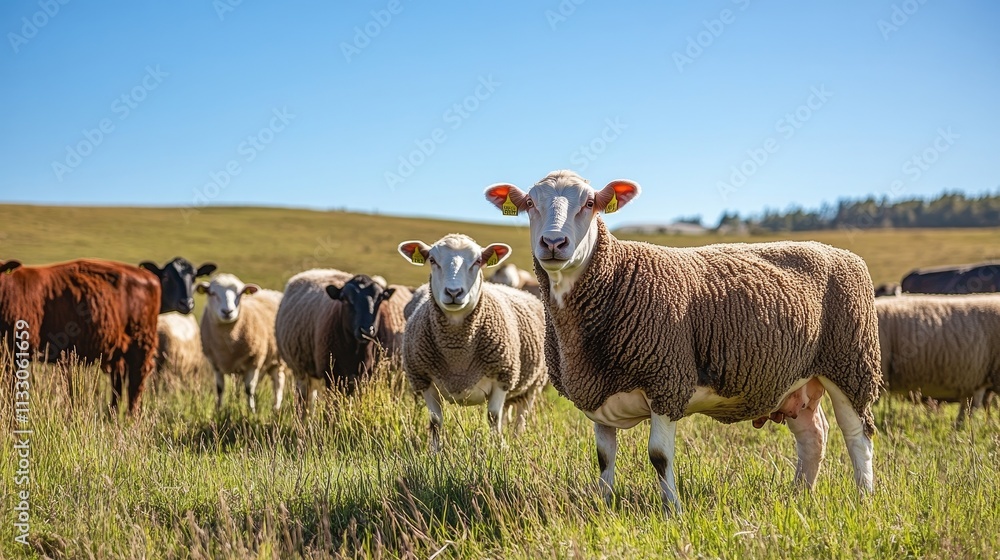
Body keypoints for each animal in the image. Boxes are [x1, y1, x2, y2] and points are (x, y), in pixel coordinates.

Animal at [197, 273, 286, 413]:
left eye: (240, 293)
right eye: (212, 293)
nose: (227, 311)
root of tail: (271, 292)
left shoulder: (254, 362)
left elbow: (249, 390)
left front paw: (252, 412)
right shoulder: (215, 364)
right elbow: (220, 389)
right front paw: (218, 411)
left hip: (278, 360)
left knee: (278, 383)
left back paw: (276, 408)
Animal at [275, 269, 411, 413]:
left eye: (380, 299)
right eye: (345, 299)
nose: (366, 330)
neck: (356, 351)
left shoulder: (366, 377)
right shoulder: (332, 376)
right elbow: (332, 408)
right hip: (302, 371)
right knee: (303, 400)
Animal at [397, 234, 548, 451]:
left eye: (478, 261)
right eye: (432, 260)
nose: (453, 292)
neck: (457, 352)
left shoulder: (503, 376)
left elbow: (493, 416)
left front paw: (497, 449)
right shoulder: (423, 379)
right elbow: (435, 420)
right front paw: (434, 452)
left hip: (533, 384)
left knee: (521, 415)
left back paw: (516, 439)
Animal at [485, 170, 881, 513]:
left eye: (590, 203)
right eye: (530, 203)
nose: (553, 243)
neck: (616, 279)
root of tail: (840, 252)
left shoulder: (666, 380)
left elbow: (659, 456)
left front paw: (672, 510)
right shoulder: (599, 390)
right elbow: (604, 457)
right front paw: (605, 505)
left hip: (851, 363)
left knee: (857, 436)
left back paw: (864, 498)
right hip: (797, 380)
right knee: (814, 436)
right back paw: (800, 494)